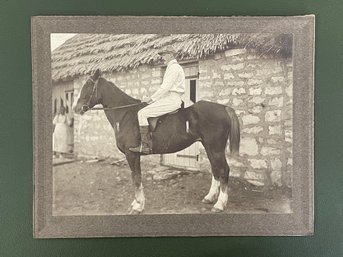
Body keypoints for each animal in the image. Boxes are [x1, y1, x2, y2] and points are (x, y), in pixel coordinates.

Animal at [74, 69, 241, 213]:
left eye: (87, 87)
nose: (76, 108)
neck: (125, 114)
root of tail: (224, 108)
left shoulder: (132, 154)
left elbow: (136, 178)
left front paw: (138, 205)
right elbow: (135, 178)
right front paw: (136, 203)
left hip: (216, 148)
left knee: (224, 170)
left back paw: (220, 204)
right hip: (209, 146)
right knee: (215, 169)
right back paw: (209, 198)